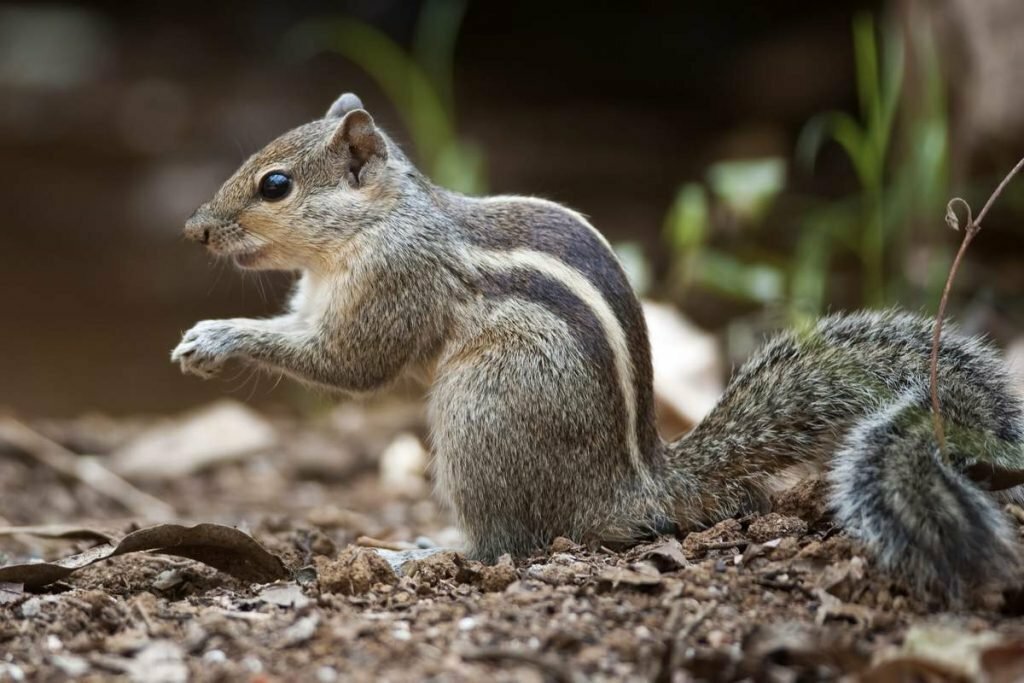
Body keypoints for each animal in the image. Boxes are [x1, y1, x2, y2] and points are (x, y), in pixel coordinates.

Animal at [174, 90, 1024, 598]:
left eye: (275, 185)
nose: (195, 230)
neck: (376, 221)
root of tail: (636, 487)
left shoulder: (394, 283)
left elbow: (350, 364)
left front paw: (218, 336)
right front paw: (202, 336)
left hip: (479, 412)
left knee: (508, 543)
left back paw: (422, 550)